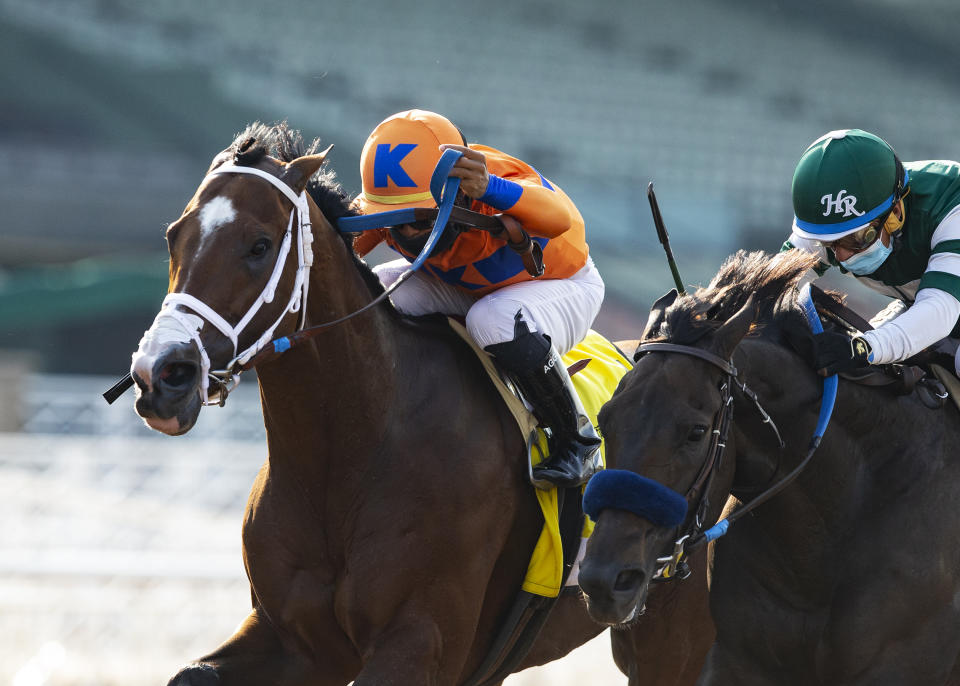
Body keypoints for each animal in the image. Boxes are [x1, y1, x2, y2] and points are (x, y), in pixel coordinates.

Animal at [125, 123, 712, 686]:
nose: (163, 373)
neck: (352, 451)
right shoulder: (295, 642)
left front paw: (477, 176)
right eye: (174, 236)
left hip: (668, 630)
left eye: (259, 245)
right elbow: (190, 674)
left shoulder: (421, 643)